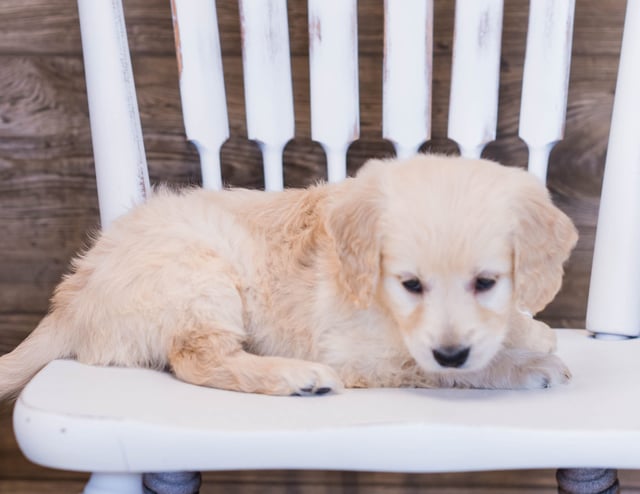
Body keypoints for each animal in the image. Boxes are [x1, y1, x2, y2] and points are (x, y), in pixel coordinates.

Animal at [0, 156, 576, 400]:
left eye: (487, 282)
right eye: (410, 285)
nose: (452, 351)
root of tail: (70, 298)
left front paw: (529, 332)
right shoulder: (356, 349)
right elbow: (433, 367)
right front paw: (526, 366)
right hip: (200, 272)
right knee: (198, 358)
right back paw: (298, 376)